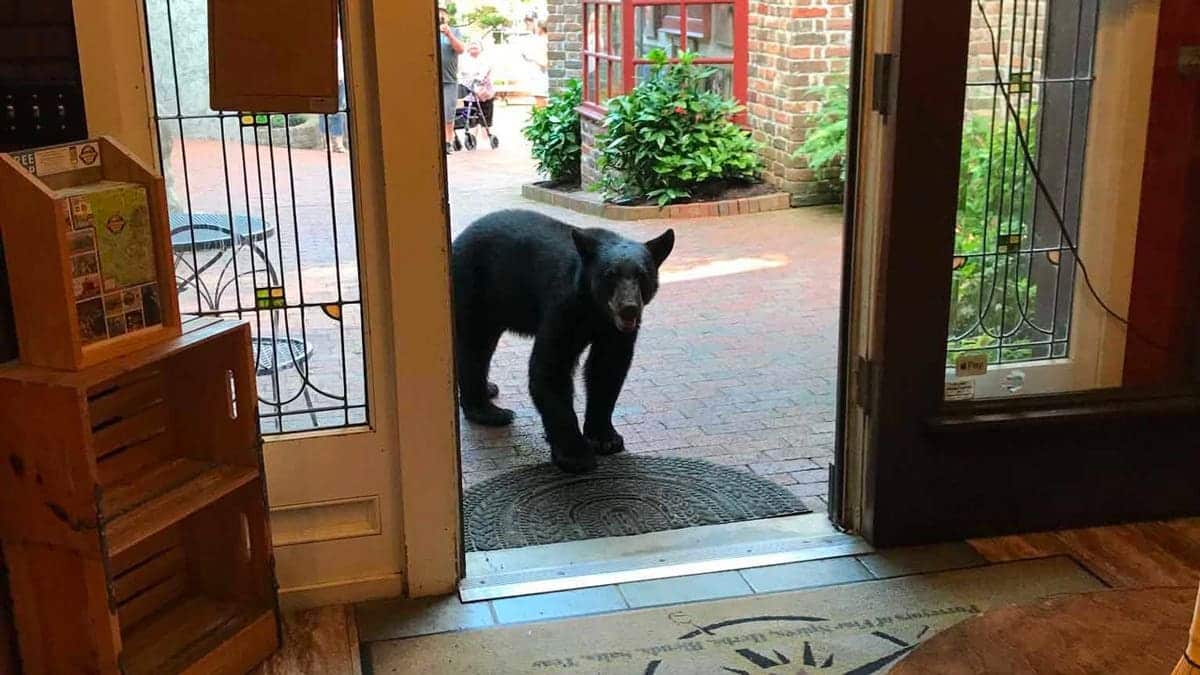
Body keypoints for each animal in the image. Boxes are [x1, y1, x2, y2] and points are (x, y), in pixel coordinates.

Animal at [451, 209, 675, 474]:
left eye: (642, 275)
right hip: (476, 288)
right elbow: (551, 368)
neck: (594, 310)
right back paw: (488, 411)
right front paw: (575, 454)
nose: (629, 308)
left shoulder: (613, 330)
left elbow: (607, 368)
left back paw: (489, 388)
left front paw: (605, 438)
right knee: (475, 346)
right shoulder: (563, 308)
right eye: (609, 275)